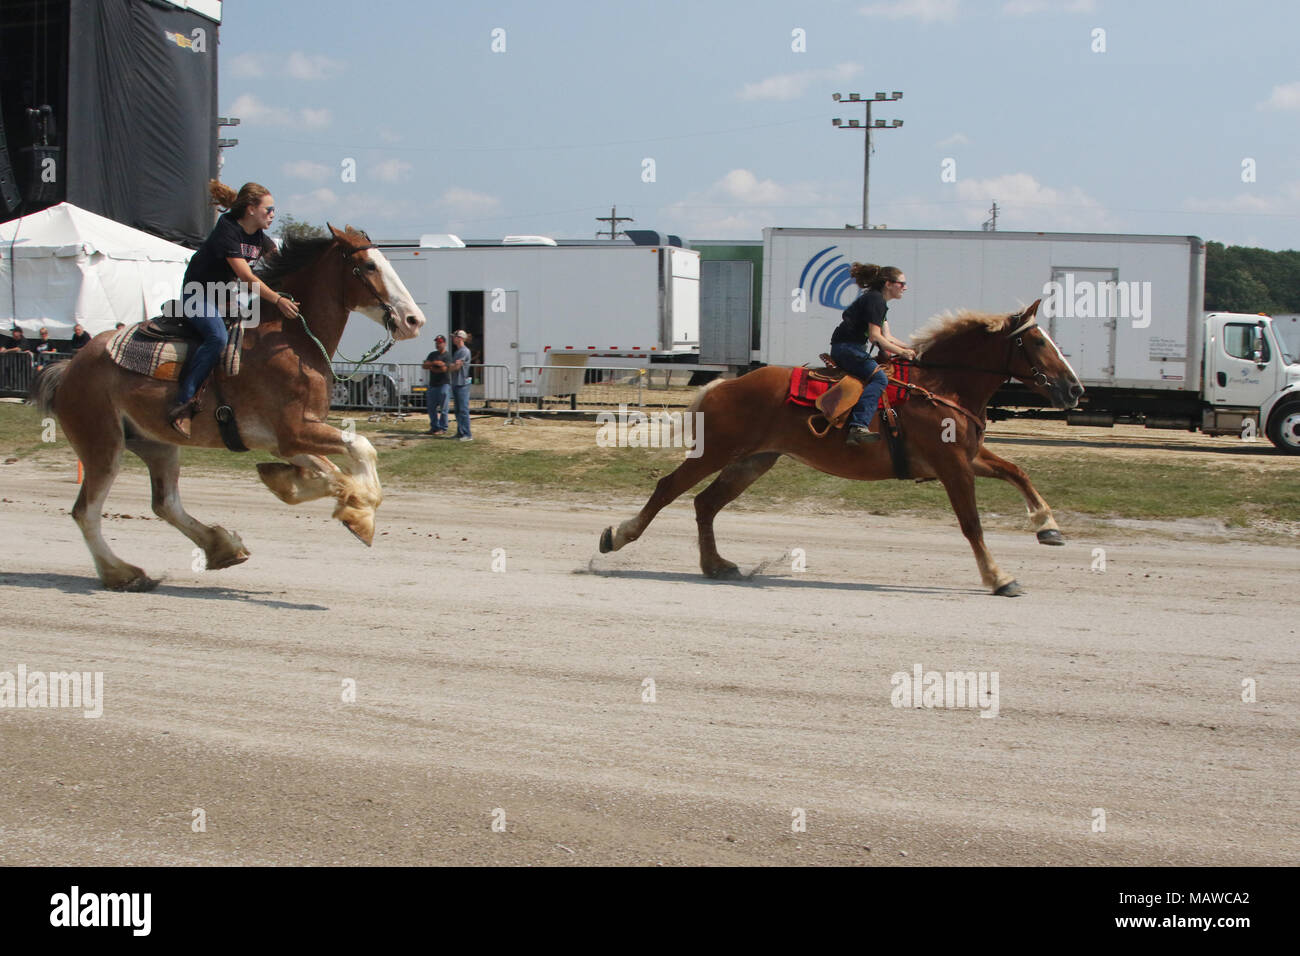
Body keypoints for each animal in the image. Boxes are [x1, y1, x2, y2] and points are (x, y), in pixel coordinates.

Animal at [31, 227, 426, 590]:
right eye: (369, 265)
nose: (413, 320)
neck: (292, 340)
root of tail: (68, 366)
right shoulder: (296, 430)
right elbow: (362, 449)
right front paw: (358, 513)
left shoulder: (285, 441)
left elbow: (331, 471)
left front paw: (298, 485)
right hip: (103, 446)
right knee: (86, 512)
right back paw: (122, 573)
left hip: (156, 445)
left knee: (165, 504)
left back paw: (220, 547)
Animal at [600, 300, 1086, 598]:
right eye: (1037, 341)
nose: (1075, 389)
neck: (941, 386)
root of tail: (724, 384)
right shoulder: (952, 466)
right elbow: (972, 525)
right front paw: (999, 577)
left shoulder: (968, 458)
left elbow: (1017, 471)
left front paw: (1048, 527)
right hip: (716, 452)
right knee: (668, 489)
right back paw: (618, 537)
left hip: (753, 461)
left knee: (705, 503)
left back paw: (716, 565)